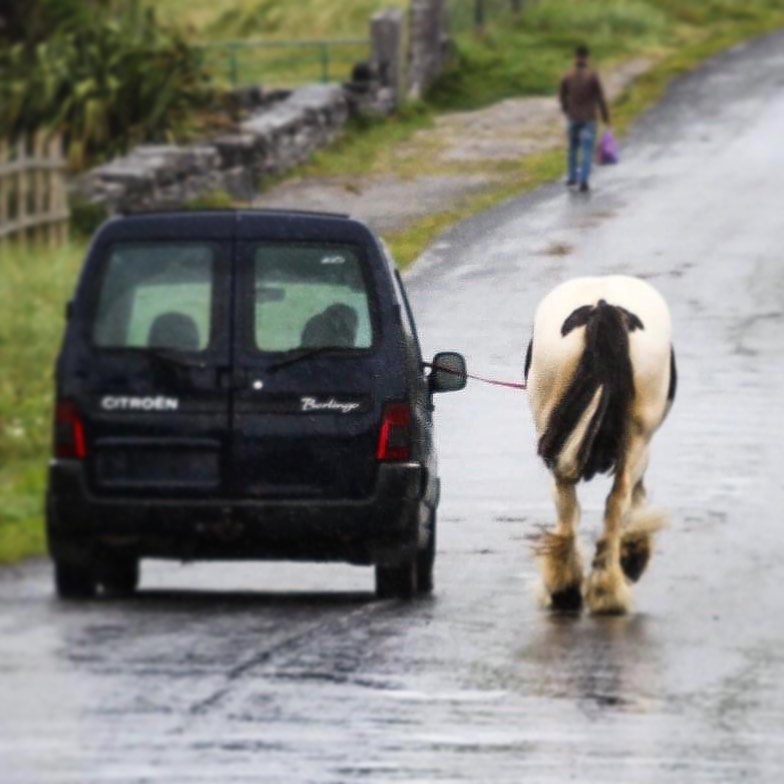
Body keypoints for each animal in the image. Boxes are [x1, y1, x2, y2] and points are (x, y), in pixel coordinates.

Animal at [524, 276, 676, 612]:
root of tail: (602, 306)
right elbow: (636, 495)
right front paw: (633, 551)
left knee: (567, 501)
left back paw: (571, 588)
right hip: (636, 438)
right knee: (616, 498)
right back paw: (600, 589)